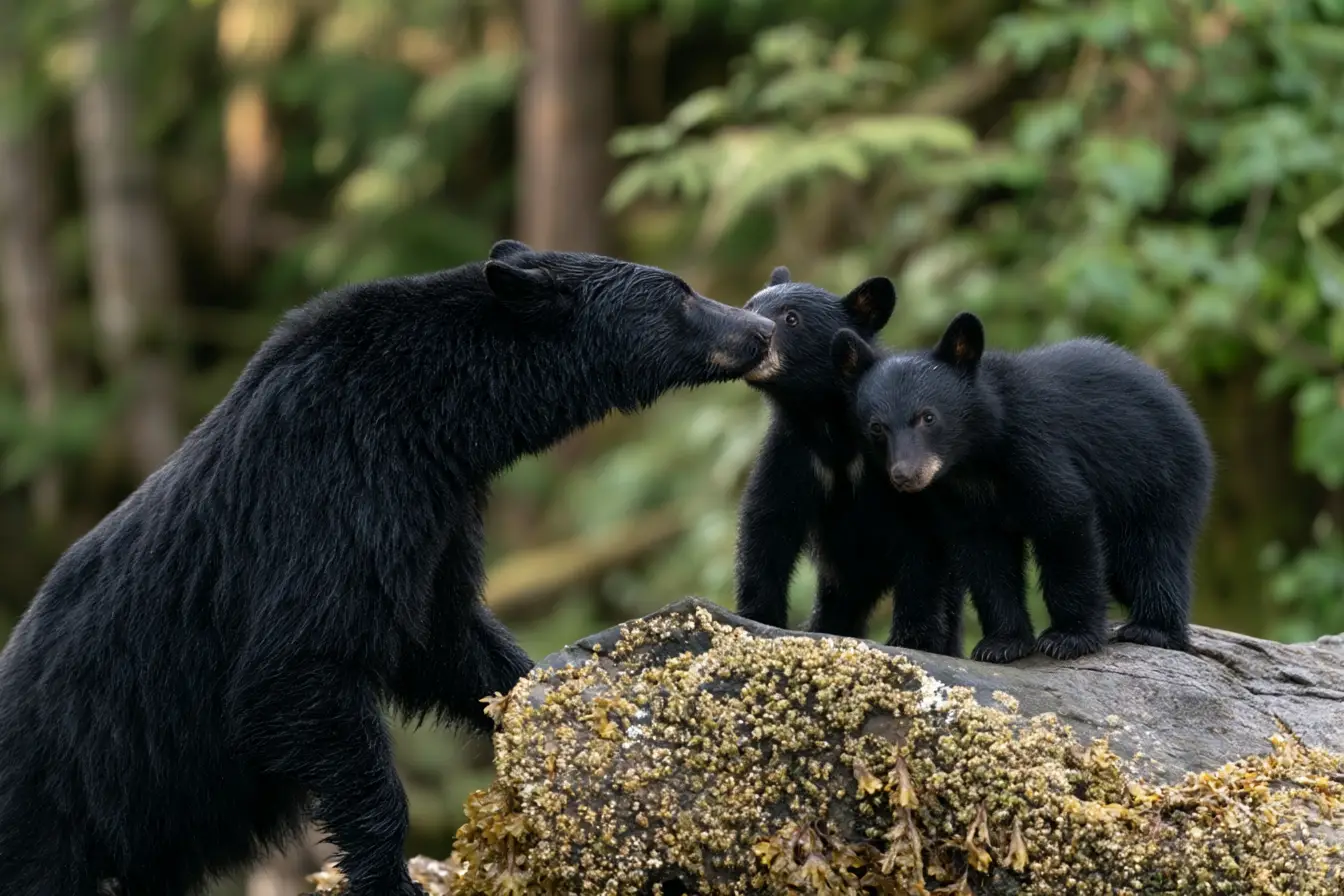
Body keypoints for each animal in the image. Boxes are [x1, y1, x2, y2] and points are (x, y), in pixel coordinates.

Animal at [0, 239, 776, 896]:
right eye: (679, 294)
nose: (762, 329)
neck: (429, 418)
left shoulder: (435, 512)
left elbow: (444, 636)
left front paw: (538, 709)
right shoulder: (333, 492)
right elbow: (302, 664)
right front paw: (388, 875)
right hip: (62, 800)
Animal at [732, 266, 964, 656]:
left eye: (791, 318)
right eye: (749, 306)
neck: (828, 424)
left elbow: (924, 547)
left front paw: (914, 639)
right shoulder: (793, 453)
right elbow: (768, 524)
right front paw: (757, 615)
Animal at [831, 311, 1214, 663]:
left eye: (928, 417)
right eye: (877, 427)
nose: (906, 476)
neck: (975, 460)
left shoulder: (1036, 449)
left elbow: (1067, 519)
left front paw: (1068, 638)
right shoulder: (964, 503)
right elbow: (987, 561)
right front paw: (1002, 644)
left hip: (1157, 475)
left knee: (1154, 549)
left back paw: (1153, 629)